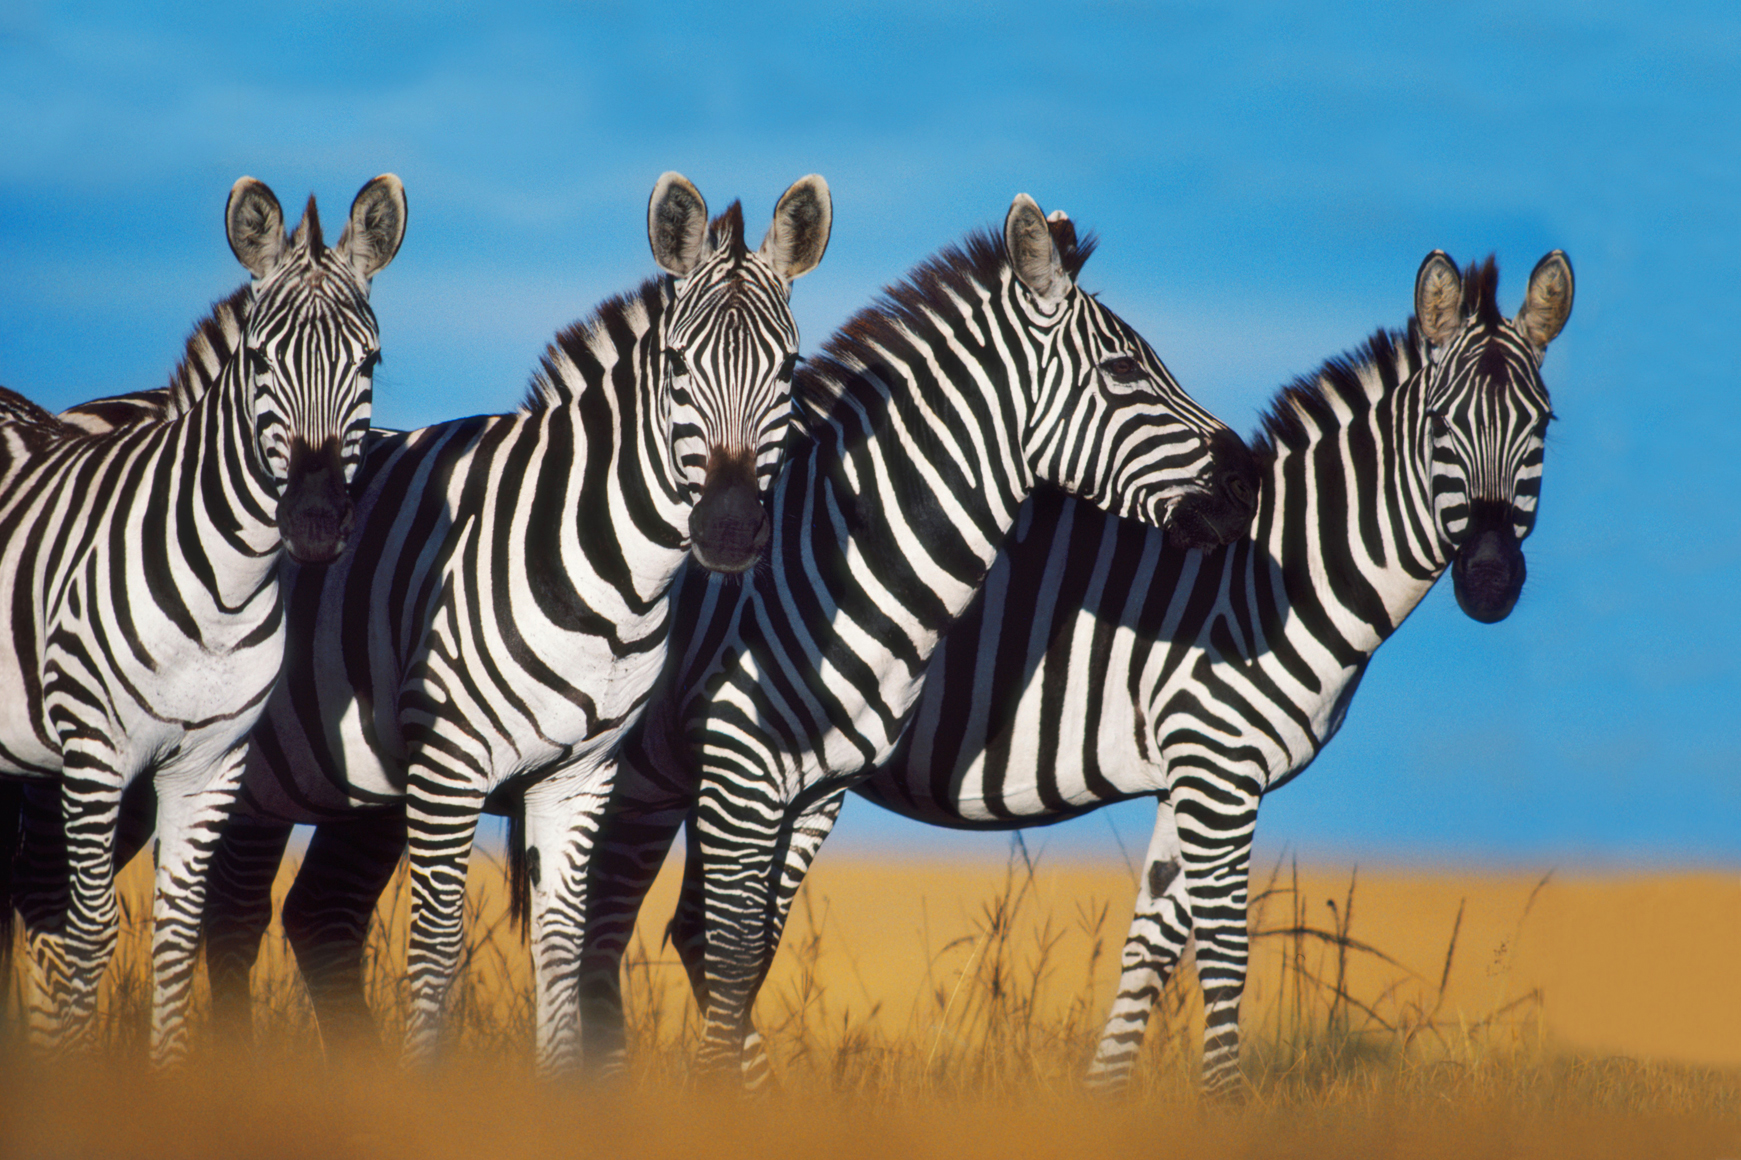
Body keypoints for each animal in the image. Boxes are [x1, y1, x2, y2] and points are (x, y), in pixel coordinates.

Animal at [0, 174, 406, 1066]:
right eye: (259, 359)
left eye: (371, 361)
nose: (316, 522)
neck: (222, 594)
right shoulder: (94, 754)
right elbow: (89, 933)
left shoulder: (211, 766)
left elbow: (179, 937)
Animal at [181, 173, 834, 1073]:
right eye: (676, 363)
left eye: (789, 366)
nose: (731, 530)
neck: (604, 575)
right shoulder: (447, 768)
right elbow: (436, 949)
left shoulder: (580, 776)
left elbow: (559, 954)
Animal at [699, 249, 1574, 1095]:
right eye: (1440, 427)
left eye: (1541, 427)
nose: (1489, 581)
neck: (1281, 576)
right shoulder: (1218, 766)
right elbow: (1223, 952)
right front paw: (1223, 1106)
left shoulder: (1196, 777)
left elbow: (1150, 948)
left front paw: (1108, 1104)